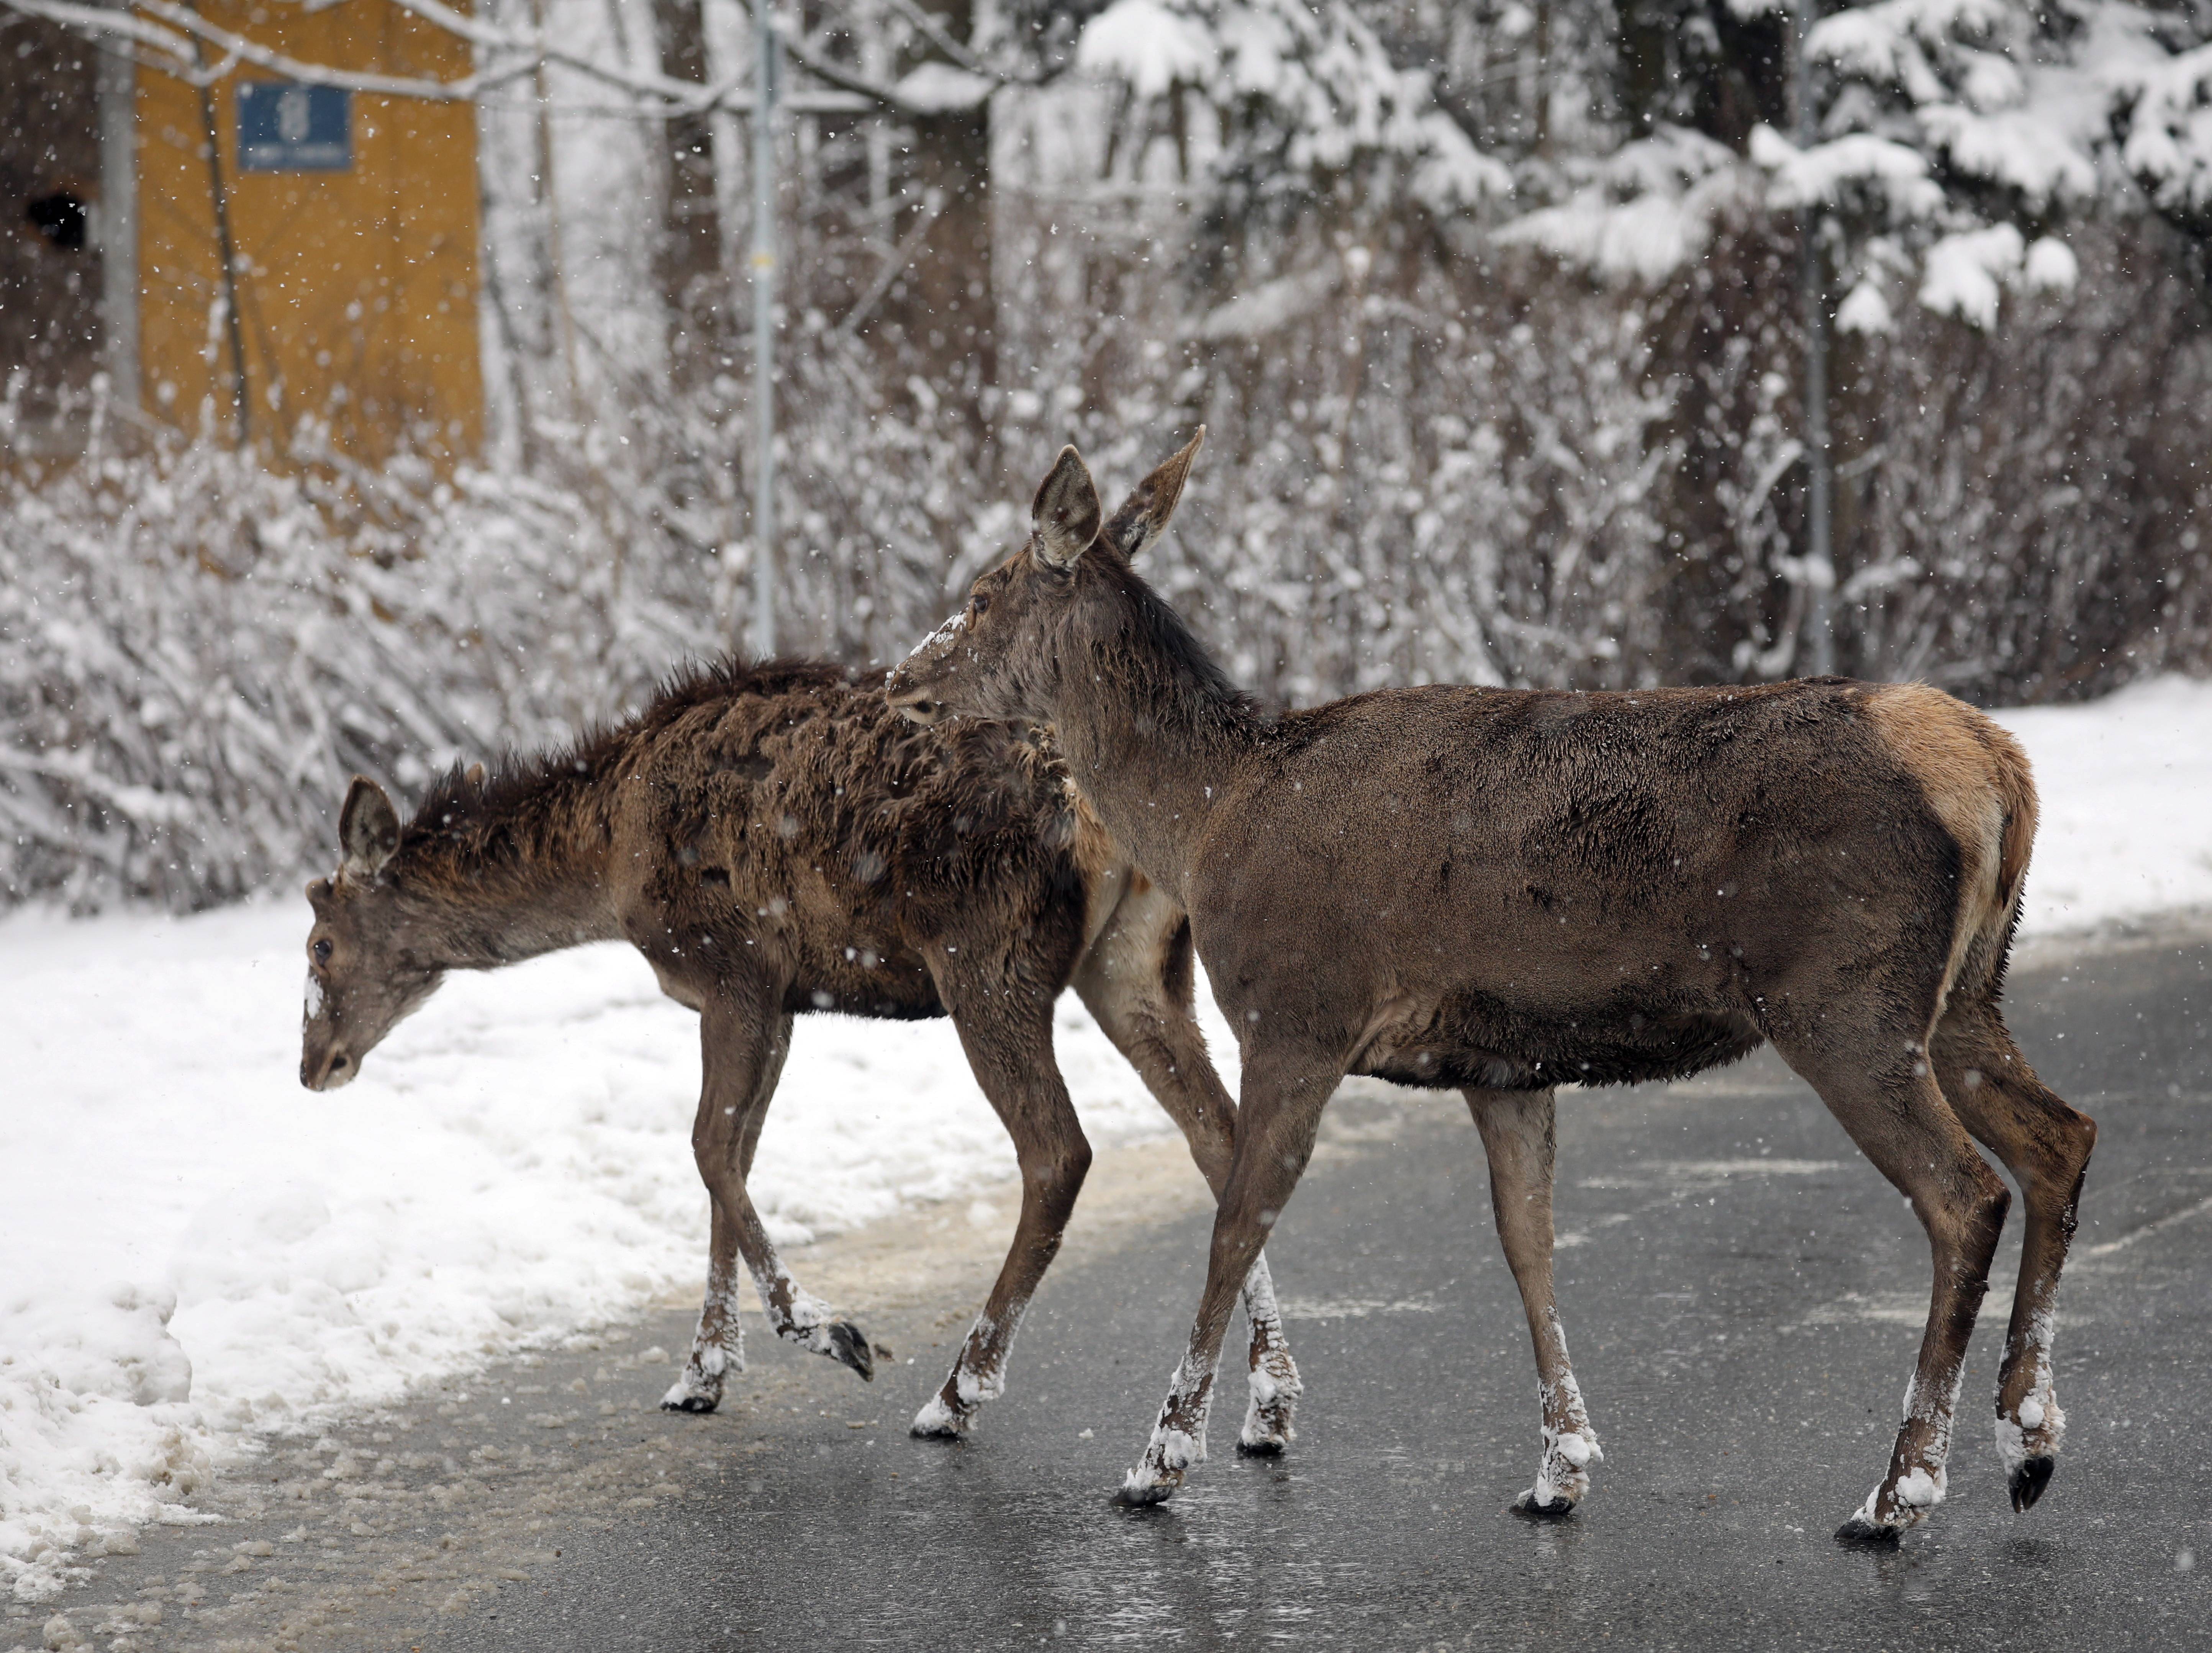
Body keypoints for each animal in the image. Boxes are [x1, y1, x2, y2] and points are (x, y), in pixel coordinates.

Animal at [292, 655, 1292, 1452]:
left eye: (321, 943)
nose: (314, 1063)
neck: (607, 859)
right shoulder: (779, 997)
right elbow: (732, 1154)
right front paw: (701, 1373)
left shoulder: (730, 967)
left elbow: (707, 1149)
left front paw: (824, 1330)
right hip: (1132, 964)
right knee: (1222, 1138)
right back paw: (1263, 1406)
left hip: (984, 958)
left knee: (1059, 1152)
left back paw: (957, 1393)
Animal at [880, 434, 2088, 1549]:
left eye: (982, 592)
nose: (900, 678)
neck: (1209, 815)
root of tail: (2000, 766)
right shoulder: (1502, 1063)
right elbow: (1525, 1242)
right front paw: (1560, 1467)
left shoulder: (1295, 1013)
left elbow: (1233, 1220)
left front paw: (1158, 1460)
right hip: (1963, 993)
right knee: (2058, 1136)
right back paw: (2025, 1442)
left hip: (1844, 998)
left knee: (1962, 1192)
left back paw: (1899, 1490)